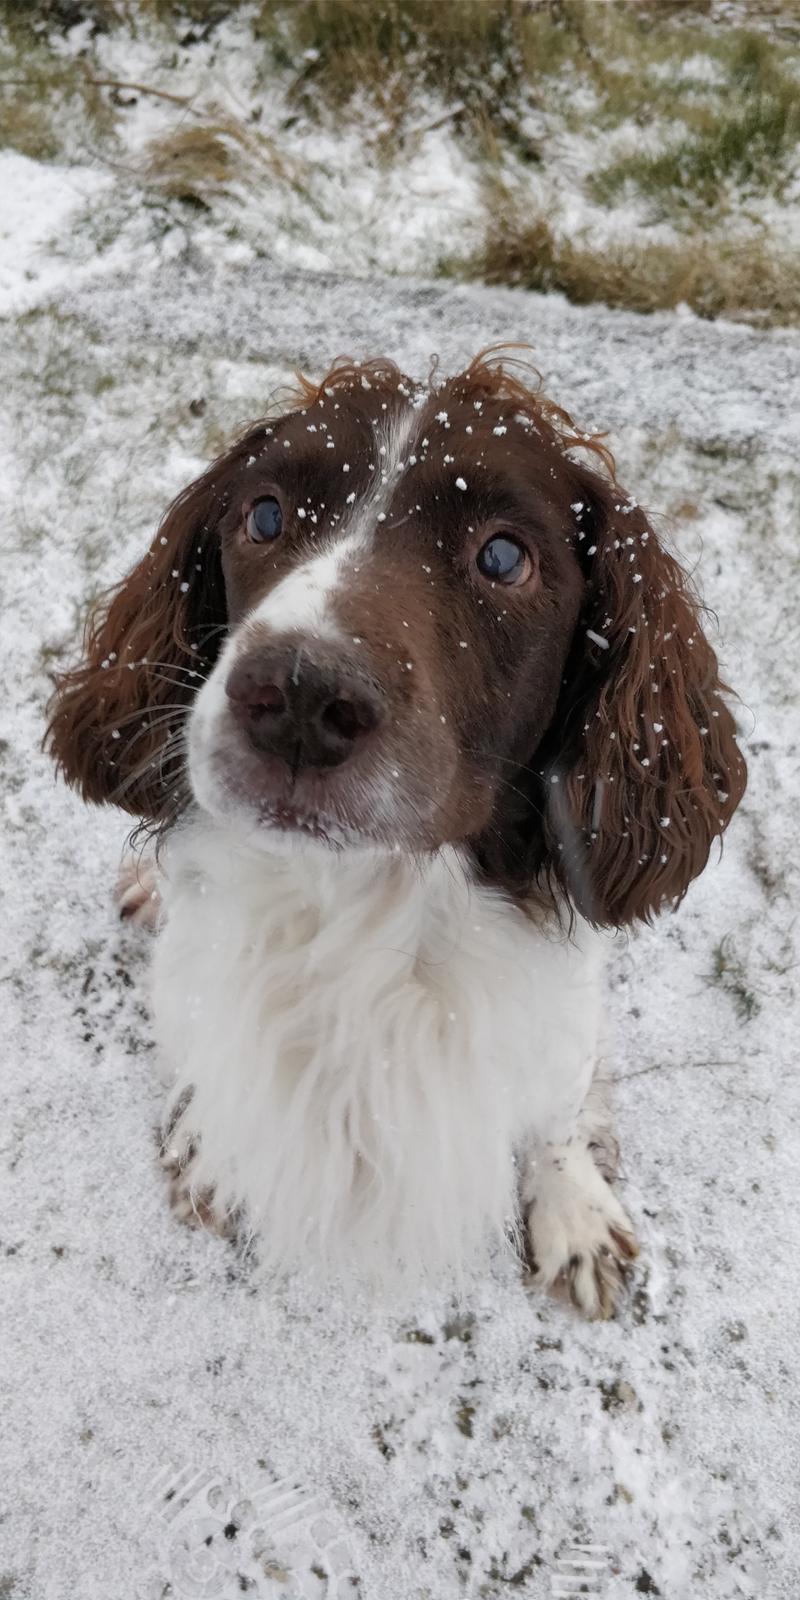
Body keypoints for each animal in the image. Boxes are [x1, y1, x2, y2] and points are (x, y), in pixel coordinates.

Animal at [45, 350, 742, 1312]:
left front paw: (573, 1210)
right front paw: (210, 1142)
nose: (300, 696)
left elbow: (557, 1103)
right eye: (264, 515)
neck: (370, 897)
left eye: (503, 557)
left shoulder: (563, 1005)